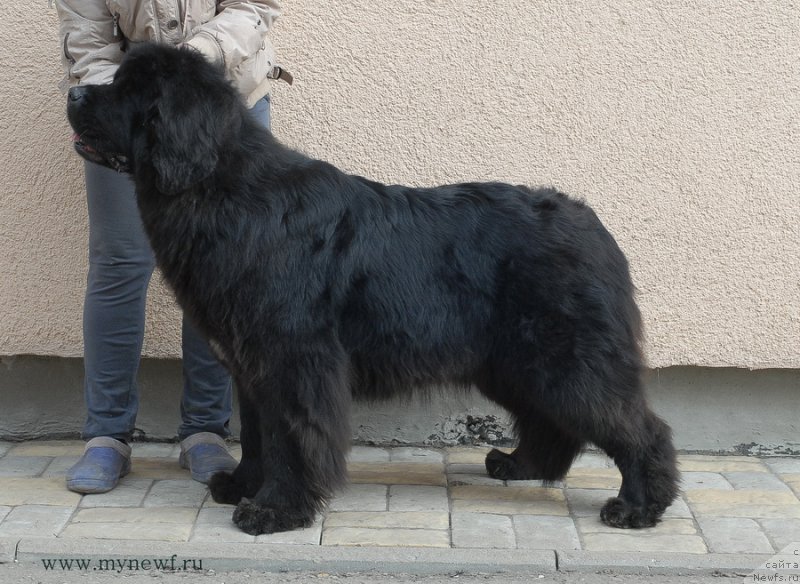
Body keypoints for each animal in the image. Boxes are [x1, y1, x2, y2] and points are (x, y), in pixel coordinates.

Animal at [69, 43, 680, 532]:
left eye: (128, 90)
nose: (73, 91)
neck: (221, 188)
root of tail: (590, 221)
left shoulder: (294, 361)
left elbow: (292, 437)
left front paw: (275, 510)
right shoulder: (251, 366)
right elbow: (258, 435)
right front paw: (242, 485)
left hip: (565, 359)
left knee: (636, 428)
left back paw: (638, 506)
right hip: (512, 362)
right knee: (551, 421)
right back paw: (520, 465)